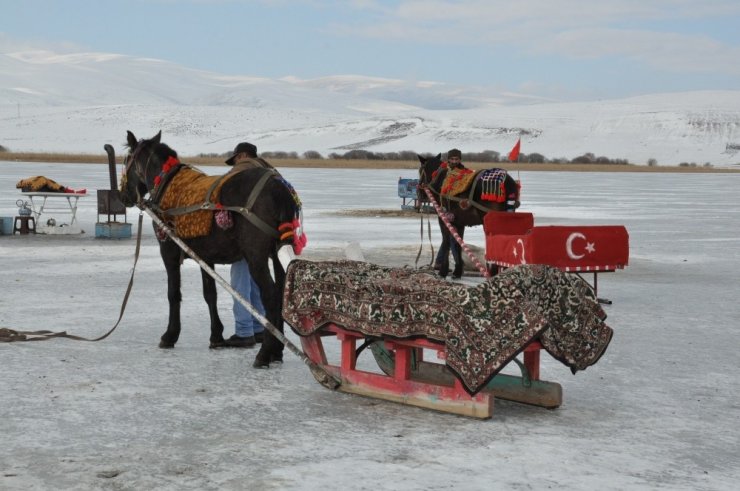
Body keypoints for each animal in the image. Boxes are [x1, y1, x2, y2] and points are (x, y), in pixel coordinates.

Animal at [119, 131, 304, 368]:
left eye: (127, 160)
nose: (123, 195)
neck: (166, 182)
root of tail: (279, 188)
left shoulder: (169, 250)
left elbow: (173, 293)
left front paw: (170, 335)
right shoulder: (205, 256)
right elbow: (210, 294)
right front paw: (216, 335)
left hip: (256, 257)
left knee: (270, 297)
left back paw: (264, 353)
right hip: (276, 253)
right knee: (280, 293)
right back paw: (277, 351)